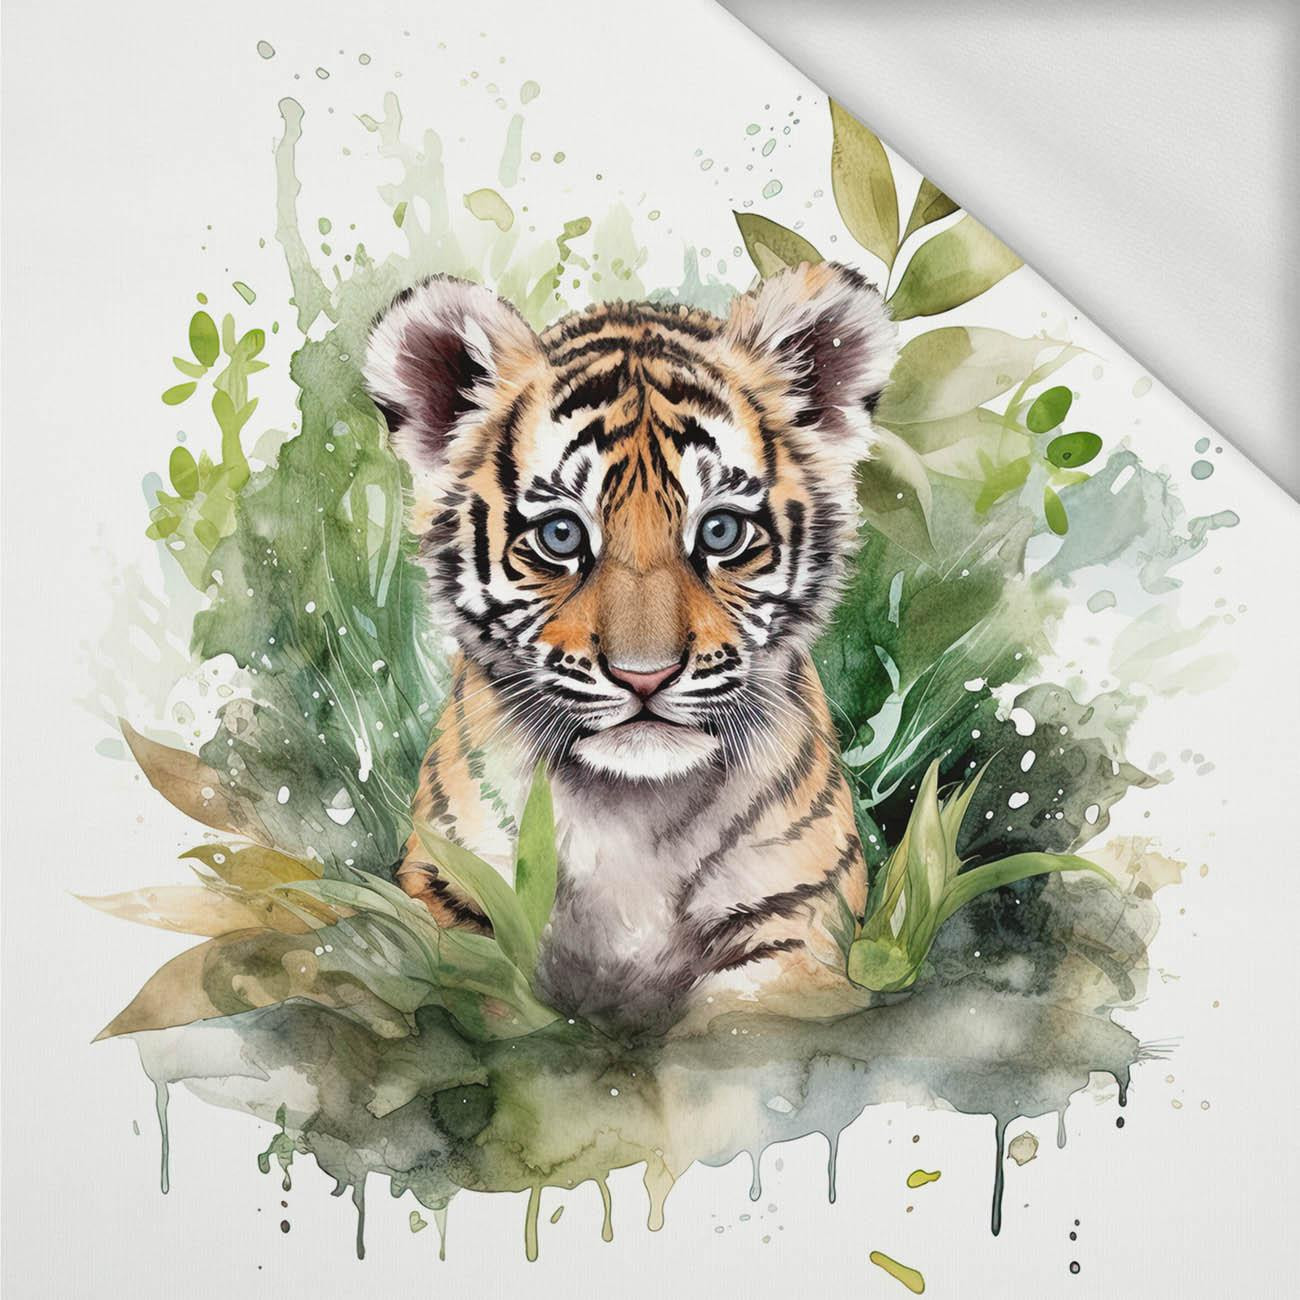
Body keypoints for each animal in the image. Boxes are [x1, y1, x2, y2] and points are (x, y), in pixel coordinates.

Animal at [363, 259, 897, 1030]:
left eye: (721, 532)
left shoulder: (796, 923)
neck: (634, 812)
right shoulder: (450, 894)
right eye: (560, 536)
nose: (645, 677)